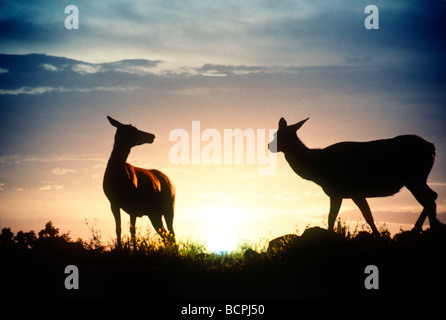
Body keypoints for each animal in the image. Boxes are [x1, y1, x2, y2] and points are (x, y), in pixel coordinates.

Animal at [103, 116, 175, 249]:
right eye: (134, 130)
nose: (152, 135)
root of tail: (172, 184)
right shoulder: (113, 203)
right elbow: (118, 229)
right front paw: (120, 248)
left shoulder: (134, 206)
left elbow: (132, 230)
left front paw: (134, 250)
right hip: (154, 213)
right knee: (165, 234)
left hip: (169, 206)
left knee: (171, 233)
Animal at [268, 117, 440, 235]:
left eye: (277, 135)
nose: (269, 145)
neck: (317, 169)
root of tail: (432, 148)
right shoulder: (349, 193)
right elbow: (364, 216)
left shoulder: (345, 192)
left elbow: (337, 218)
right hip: (417, 178)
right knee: (432, 197)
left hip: (414, 178)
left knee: (430, 199)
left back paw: (421, 229)